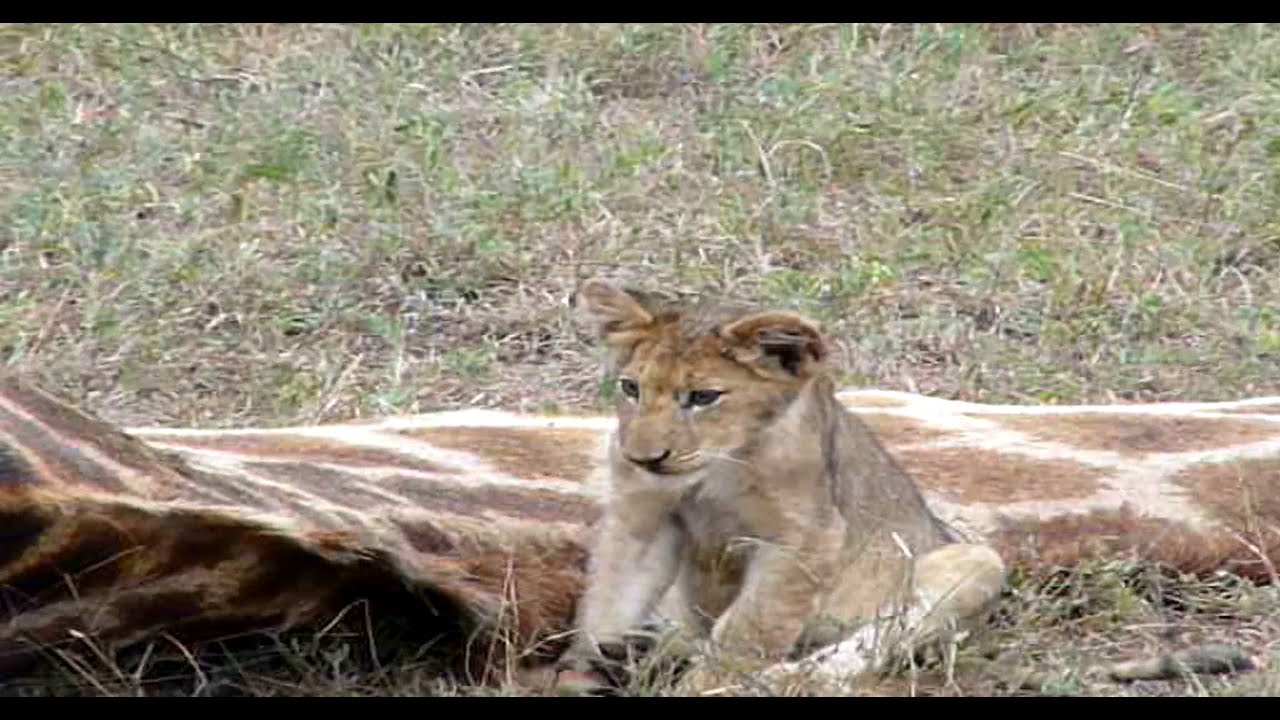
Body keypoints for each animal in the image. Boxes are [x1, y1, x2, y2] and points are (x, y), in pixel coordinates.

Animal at [549, 278, 1009, 695]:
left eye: (703, 396)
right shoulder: (640, 515)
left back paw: (785, 678)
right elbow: (611, 598)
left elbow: (751, 626)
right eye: (631, 388)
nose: (644, 459)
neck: (716, 469)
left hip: (976, 562)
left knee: (872, 641)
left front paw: (709, 686)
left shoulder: (807, 536)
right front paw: (582, 674)